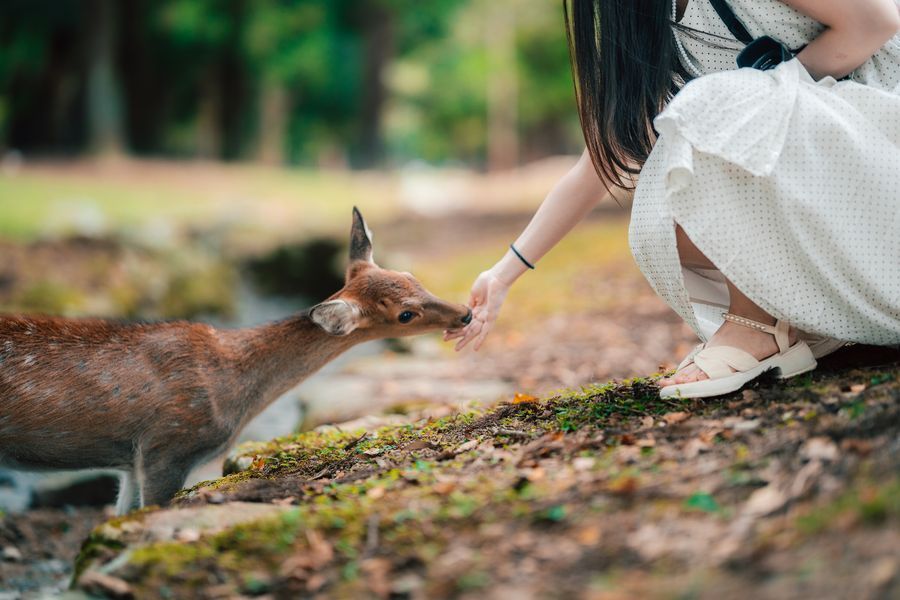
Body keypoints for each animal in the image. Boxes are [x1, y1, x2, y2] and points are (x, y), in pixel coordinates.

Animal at [0, 209, 474, 512]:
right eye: (405, 314)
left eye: (411, 276)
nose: (466, 313)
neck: (238, 388)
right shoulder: (167, 445)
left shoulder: (131, 461)